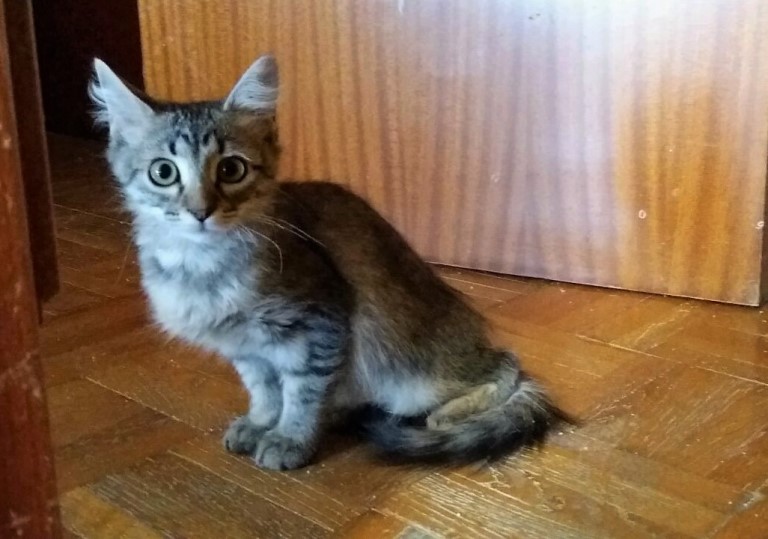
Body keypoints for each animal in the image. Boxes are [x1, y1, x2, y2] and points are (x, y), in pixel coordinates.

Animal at [89, 55, 560, 470]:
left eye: (231, 169)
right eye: (164, 173)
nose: (200, 211)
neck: (200, 265)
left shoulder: (320, 323)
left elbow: (301, 392)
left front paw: (289, 439)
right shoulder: (248, 349)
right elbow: (264, 390)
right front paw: (261, 423)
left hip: (411, 373)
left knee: (507, 367)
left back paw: (447, 414)